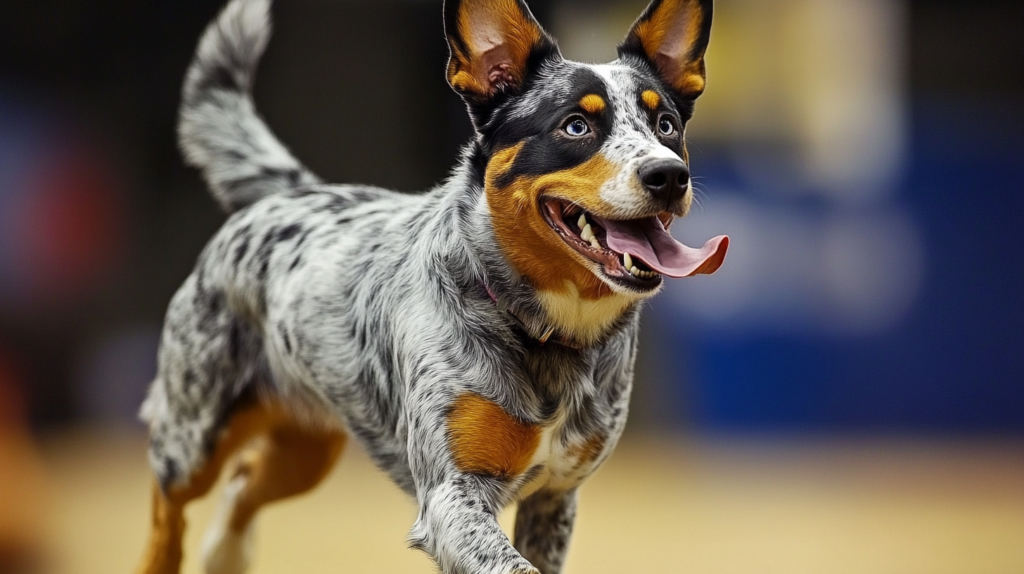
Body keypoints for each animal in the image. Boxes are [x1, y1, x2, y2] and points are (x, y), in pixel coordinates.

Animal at [136, 1, 729, 572]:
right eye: (576, 126)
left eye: (666, 124)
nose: (669, 174)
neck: (543, 328)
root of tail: (290, 194)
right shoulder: (452, 496)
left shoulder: (556, 497)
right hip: (195, 435)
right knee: (169, 509)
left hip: (305, 451)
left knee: (244, 483)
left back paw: (225, 554)